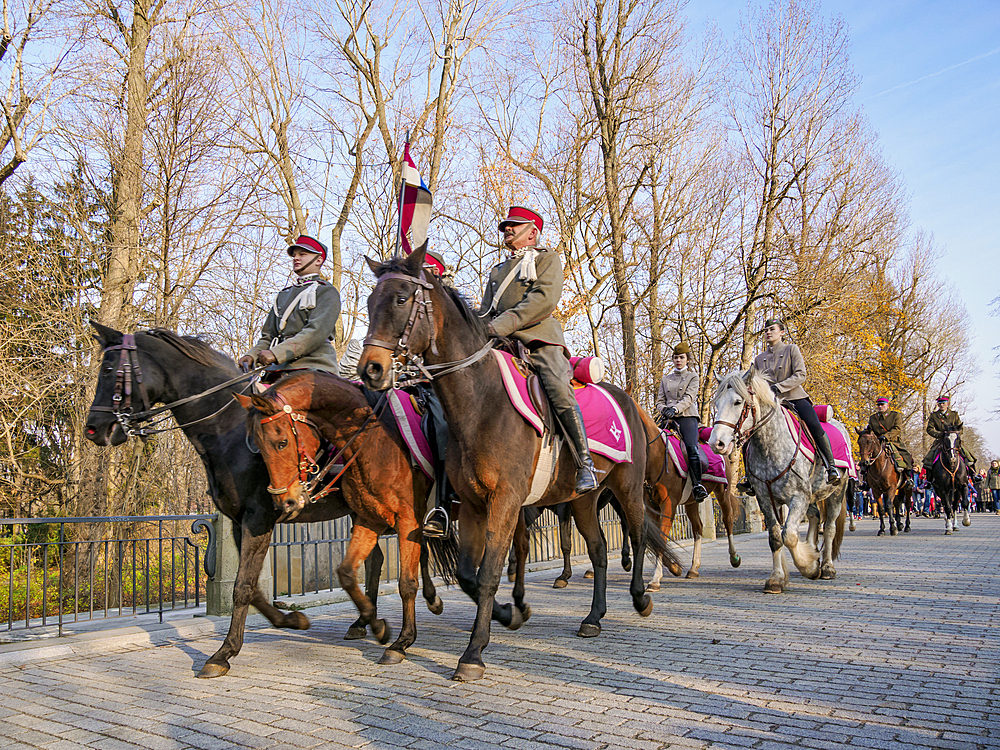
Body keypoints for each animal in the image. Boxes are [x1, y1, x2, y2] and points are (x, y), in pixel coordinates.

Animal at [234, 374, 442, 664]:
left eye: (281, 442)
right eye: (259, 448)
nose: (284, 502)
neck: (374, 441)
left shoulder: (407, 520)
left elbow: (407, 584)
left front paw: (402, 641)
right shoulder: (369, 519)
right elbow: (346, 573)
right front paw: (375, 625)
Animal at [356, 250, 676, 684]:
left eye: (402, 298)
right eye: (370, 301)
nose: (370, 368)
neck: (481, 402)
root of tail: (629, 401)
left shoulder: (506, 500)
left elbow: (489, 572)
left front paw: (473, 652)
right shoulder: (473, 505)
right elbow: (469, 573)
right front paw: (509, 614)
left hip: (626, 487)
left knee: (639, 534)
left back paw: (641, 597)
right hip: (583, 499)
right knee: (597, 551)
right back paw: (593, 617)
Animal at [640, 408, 744, 592]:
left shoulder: (668, 504)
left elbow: (661, 539)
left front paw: (655, 579)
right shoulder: (652, 507)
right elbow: (657, 539)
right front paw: (674, 568)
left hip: (722, 492)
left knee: (728, 520)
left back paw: (734, 558)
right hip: (691, 502)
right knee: (698, 528)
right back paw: (694, 568)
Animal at [708, 368, 848, 592]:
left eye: (738, 402)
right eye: (717, 403)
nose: (716, 443)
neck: (769, 446)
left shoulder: (798, 496)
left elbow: (789, 535)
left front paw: (809, 567)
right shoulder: (766, 499)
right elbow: (775, 536)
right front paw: (777, 578)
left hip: (837, 491)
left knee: (829, 528)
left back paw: (826, 567)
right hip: (810, 496)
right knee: (815, 516)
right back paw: (814, 552)